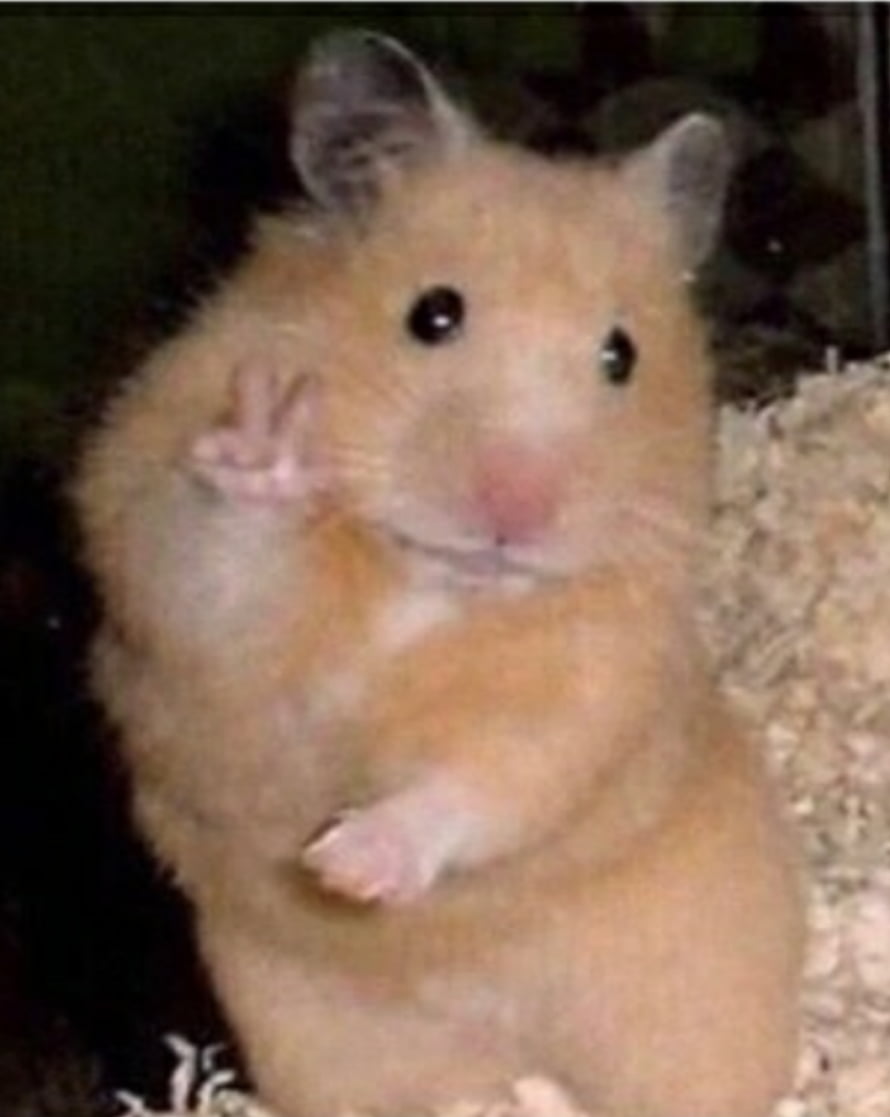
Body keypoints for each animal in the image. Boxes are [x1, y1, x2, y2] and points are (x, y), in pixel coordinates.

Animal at [74, 31, 804, 1117]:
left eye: (620, 355)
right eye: (433, 314)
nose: (516, 510)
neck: (432, 586)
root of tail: (506, 1059)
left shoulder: (593, 683)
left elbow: (488, 778)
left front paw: (346, 867)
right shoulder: (166, 571)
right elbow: (218, 560)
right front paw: (271, 446)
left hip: (695, 998)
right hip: (324, 1046)